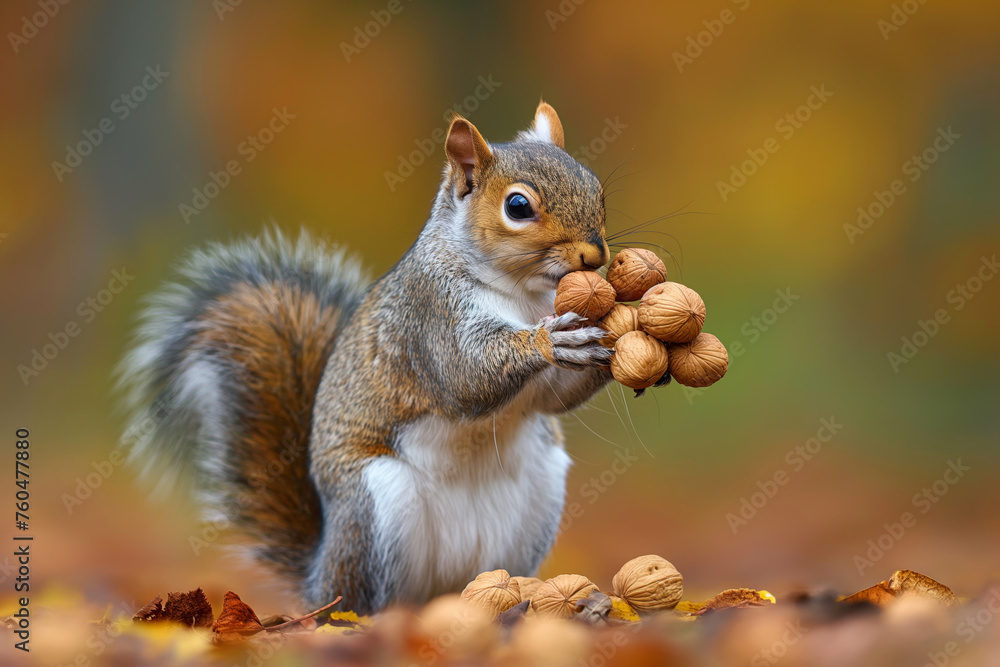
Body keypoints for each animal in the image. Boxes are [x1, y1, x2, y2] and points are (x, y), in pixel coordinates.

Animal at [119, 102, 613, 614]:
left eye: (597, 189)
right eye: (518, 206)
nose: (595, 256)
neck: (523, 295)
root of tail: (320, 578)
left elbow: (552, 399)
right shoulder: (429, 316)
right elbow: (466, 376)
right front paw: (551, 341)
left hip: (538, 496)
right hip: (377, 508)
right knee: (367, 598)